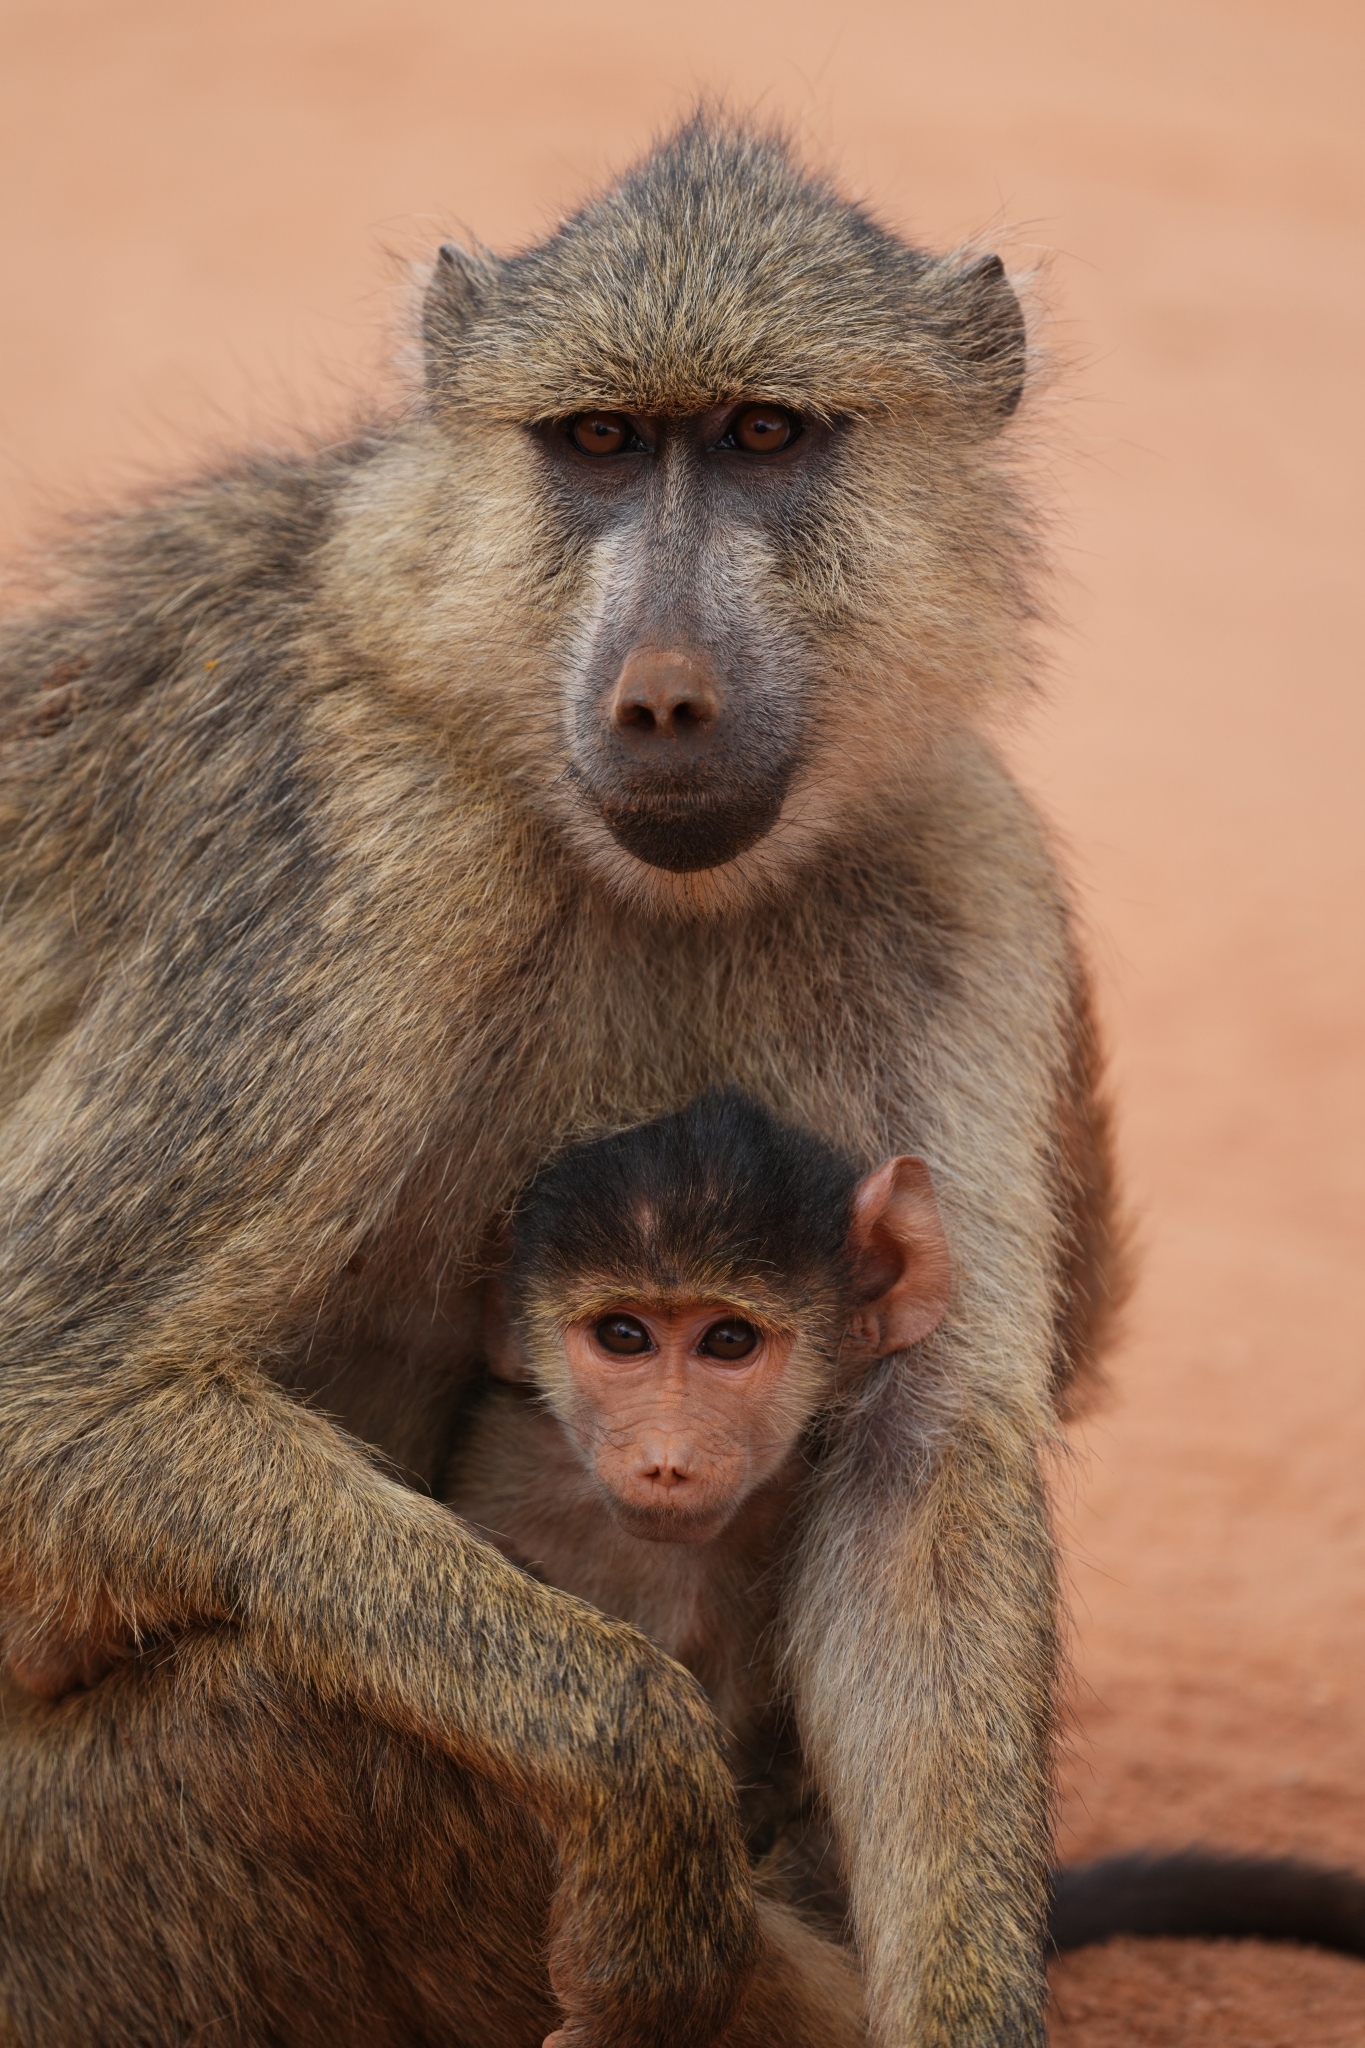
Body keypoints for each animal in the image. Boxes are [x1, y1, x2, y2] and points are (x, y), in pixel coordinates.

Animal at [0, 111, 1138, 2047]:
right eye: (597, 446)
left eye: (763, 438)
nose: (664, 701)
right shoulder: (370, 845)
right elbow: (56, 1388)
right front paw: (642, 1791)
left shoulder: (951, 862)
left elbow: (919, 1464)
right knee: (301, 1720)